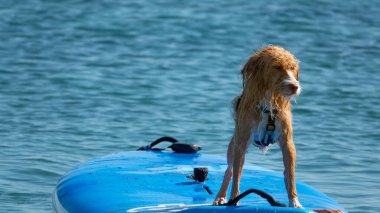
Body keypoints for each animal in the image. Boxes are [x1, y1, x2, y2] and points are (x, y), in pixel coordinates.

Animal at [214, 45, 302, 208]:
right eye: (277, 67)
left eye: (292, 68)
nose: (295, 87)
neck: (270, 101)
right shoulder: (241, 143)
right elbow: (236, 176)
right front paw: (233, 199)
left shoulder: (288, 143)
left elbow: (291, 174)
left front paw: (294, 202)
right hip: (233, 144)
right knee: (229, 170)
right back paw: (220, 196)